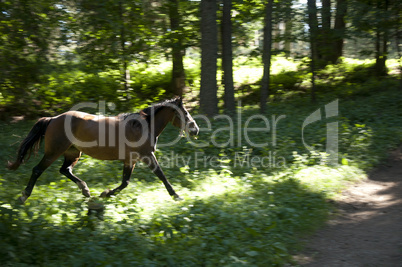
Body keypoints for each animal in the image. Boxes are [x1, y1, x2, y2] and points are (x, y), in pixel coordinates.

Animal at [7, 97, 199, 204]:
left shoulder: (131, 160)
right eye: (185, 113)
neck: (142, 127)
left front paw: (104, 194)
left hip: (73, 152)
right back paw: (23, 197)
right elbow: (161, 175)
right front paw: (176, 196)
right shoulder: (146, 156)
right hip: (54, 152)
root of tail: (53, 118)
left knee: (65, 170)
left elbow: (125, 182)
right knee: (37, 170)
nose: (195, 130)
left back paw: (85, 190)